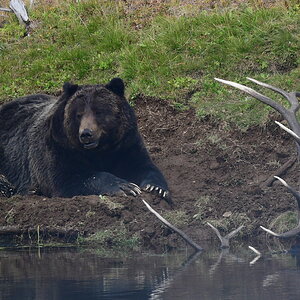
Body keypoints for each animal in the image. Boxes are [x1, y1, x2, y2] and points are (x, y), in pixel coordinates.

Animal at [0, 78, 170, 202]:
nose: (86, 133)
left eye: (98, 111)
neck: (99, 150)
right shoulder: (58, 148)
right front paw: (125, 187)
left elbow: (141, 165)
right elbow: (68, 179)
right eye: (78, 114)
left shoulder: (125, 143)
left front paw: (156, 188)